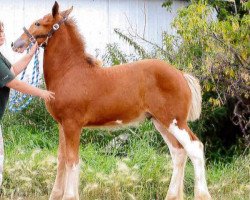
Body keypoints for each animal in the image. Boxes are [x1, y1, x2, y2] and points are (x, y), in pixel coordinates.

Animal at [11, 1, 211, 200]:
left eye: (37, 23)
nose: (15, 43)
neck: (69, 72)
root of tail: (181, 74)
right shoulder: (62, 125)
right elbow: (61, 159)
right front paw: (56, 194)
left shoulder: (72, 125)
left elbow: (72, 161)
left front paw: (69, 196)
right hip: (160, 122)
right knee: (178, 152)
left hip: (175, 121)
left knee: (195, 148)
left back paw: (202, 194)